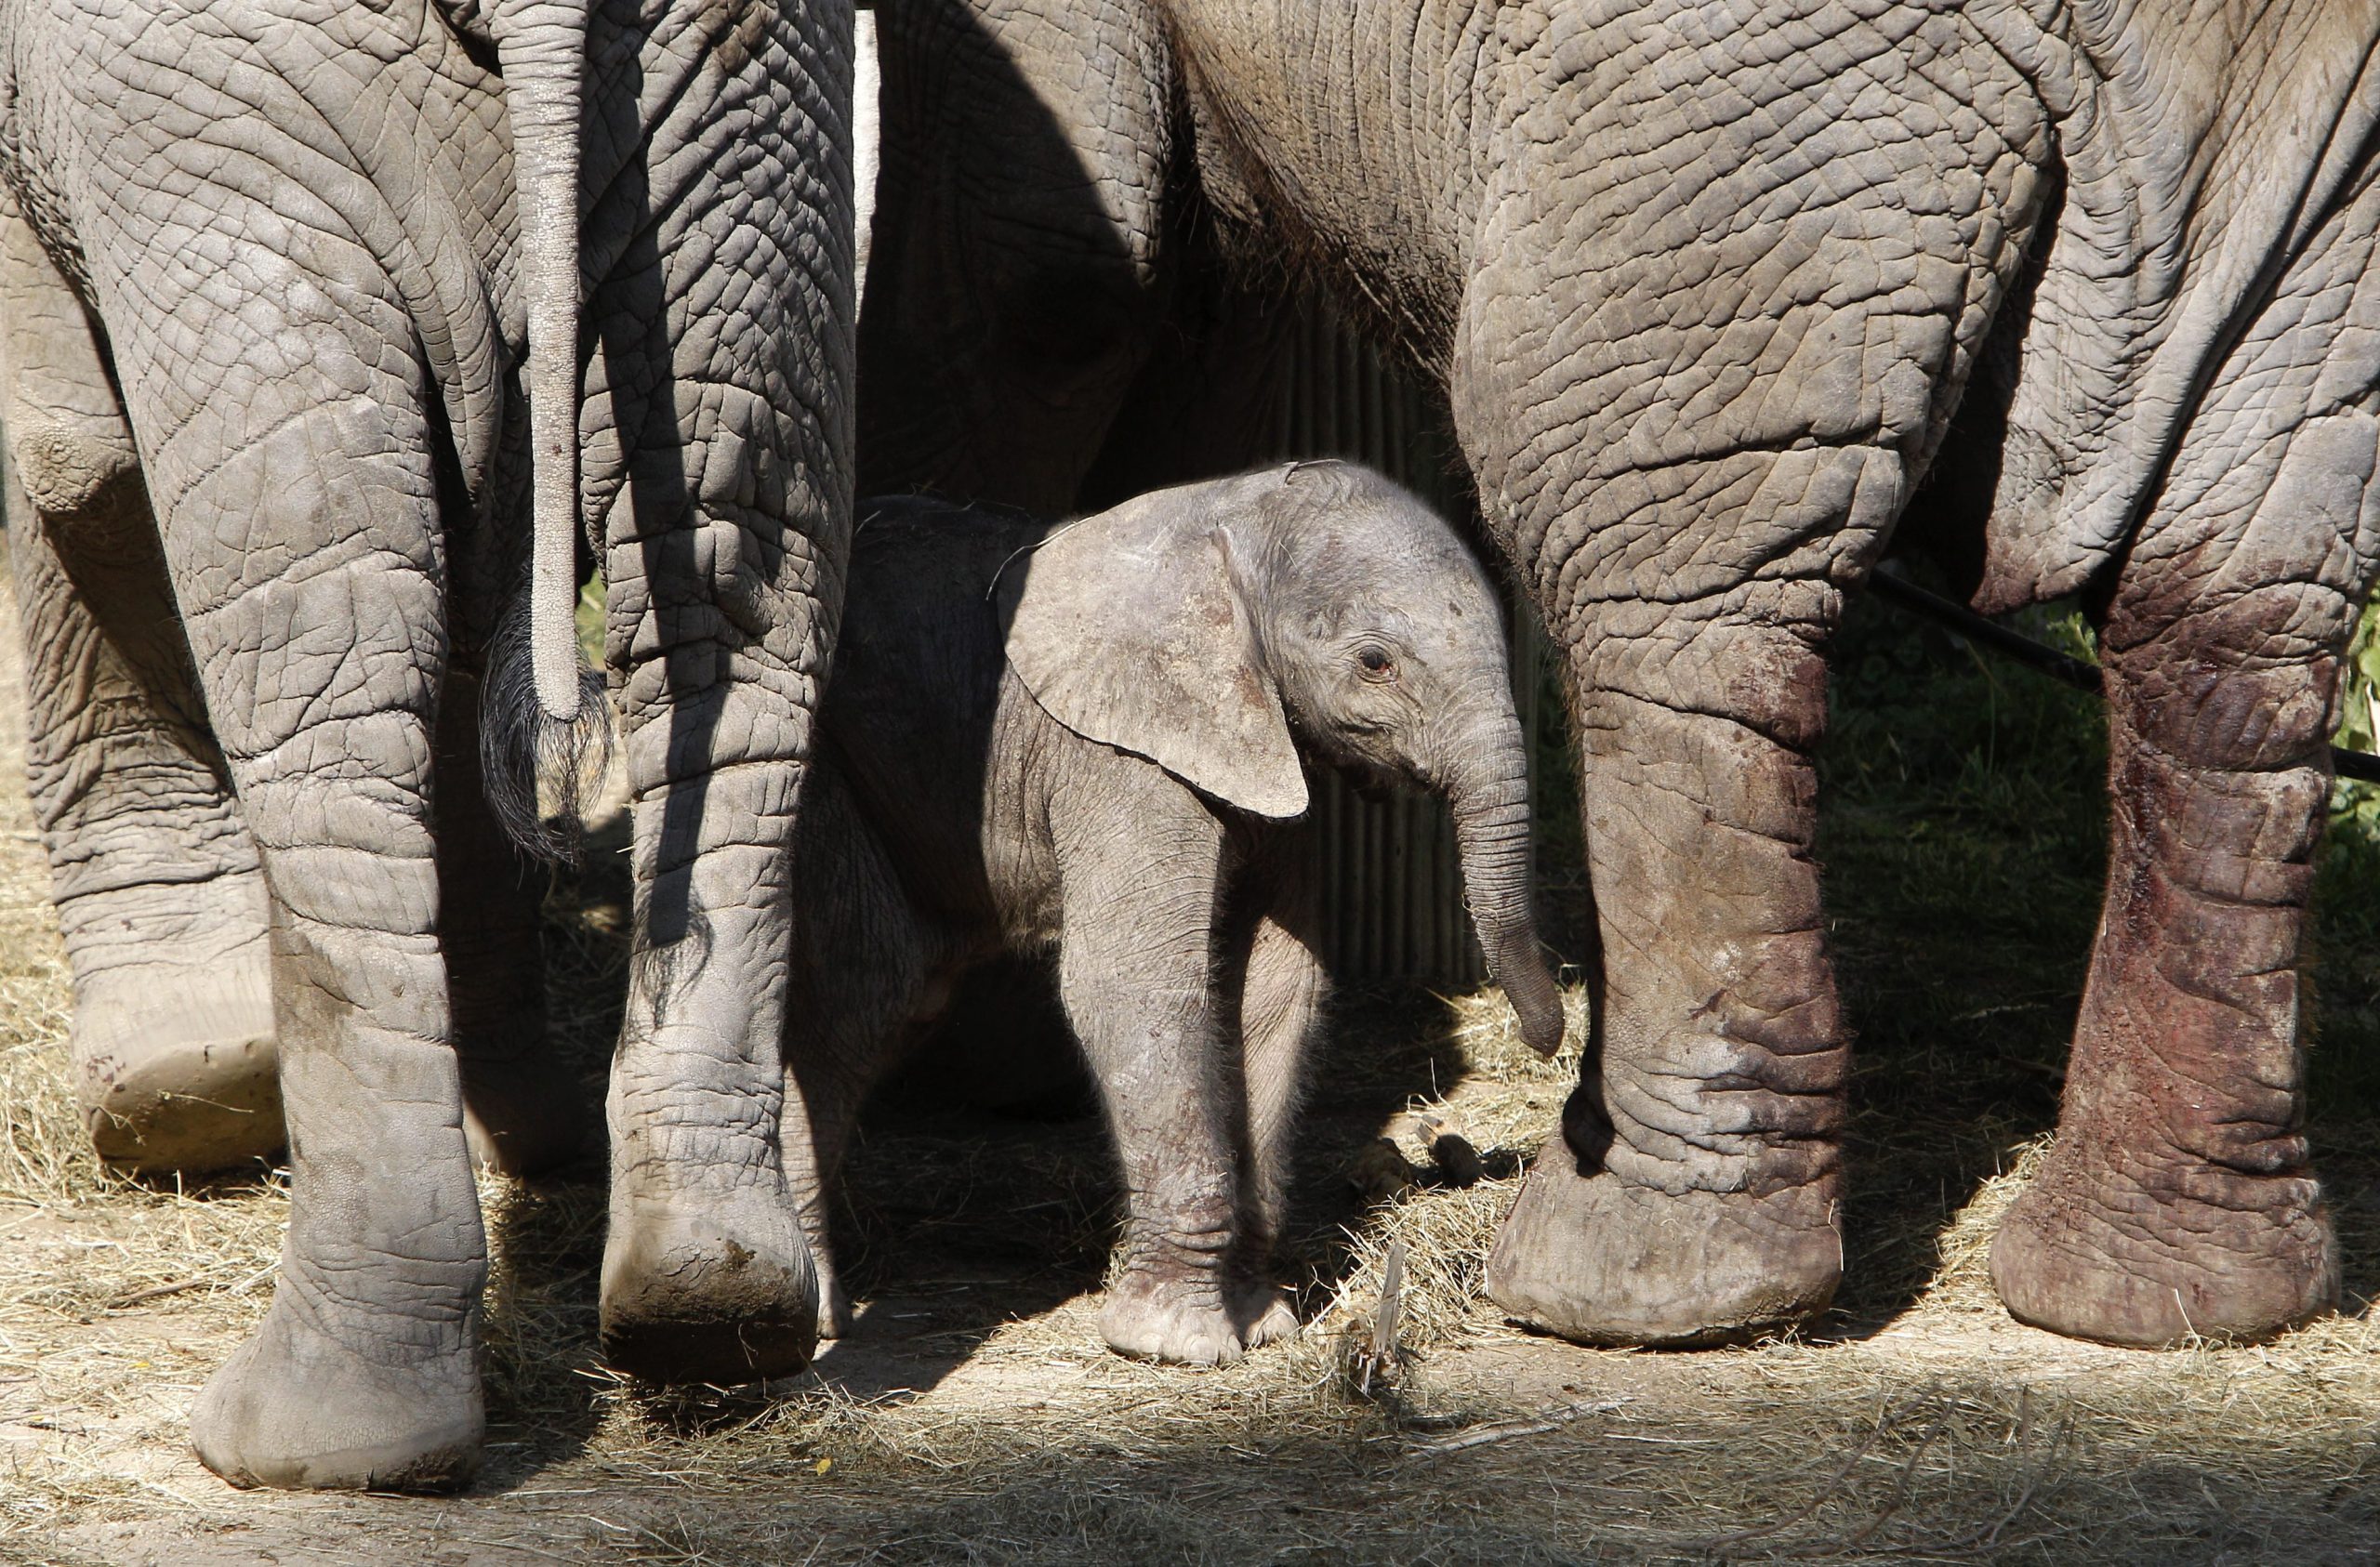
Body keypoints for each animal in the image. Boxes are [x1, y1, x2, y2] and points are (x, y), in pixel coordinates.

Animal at [0, 0, 855, 1490]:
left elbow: (76, 465)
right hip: (736, 94)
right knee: (737, 574)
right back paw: (716, 1303)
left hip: (209, 112)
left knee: (316, 616)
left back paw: (318, 1440)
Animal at [781, 462, 1562, 1363]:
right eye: (1375, 663)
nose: (1546, 1040)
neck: (1230, 519)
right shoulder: (1120, 757)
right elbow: (1133, 985)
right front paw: (1176, 1345)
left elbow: (1272, 989)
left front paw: (1262, 1321)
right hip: (824, 776)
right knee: (864, 999)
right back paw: (813, 1322)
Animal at [856, 0, 2380, 1351]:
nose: (1529, 1040)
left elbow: (1046, 276)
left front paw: (978, 1061)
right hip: (2314, 196)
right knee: (2232, 611)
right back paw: (2166, 1297)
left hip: (1730, 118)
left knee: (1657, 579)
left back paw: (1640, 1283)